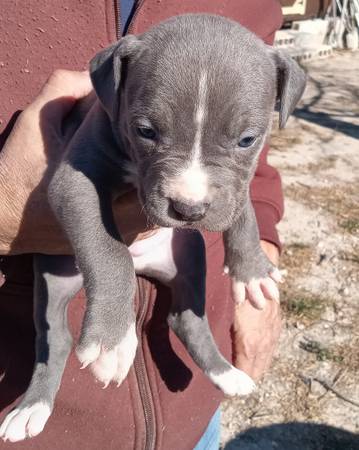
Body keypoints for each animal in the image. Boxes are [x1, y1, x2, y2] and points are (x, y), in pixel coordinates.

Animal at [0, 14, 306, 442]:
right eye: (146, 131)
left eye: (247, 139)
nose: (189, 208)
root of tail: (145, 264)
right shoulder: (71, 182)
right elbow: (109, 252)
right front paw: (113, 343)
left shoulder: (234, 184)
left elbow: (243, 209)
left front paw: (252, 271)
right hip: (54, 276)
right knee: (55, 336)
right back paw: (32, 408)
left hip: (188, 253)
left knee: (184, 317)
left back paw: (226, 374)